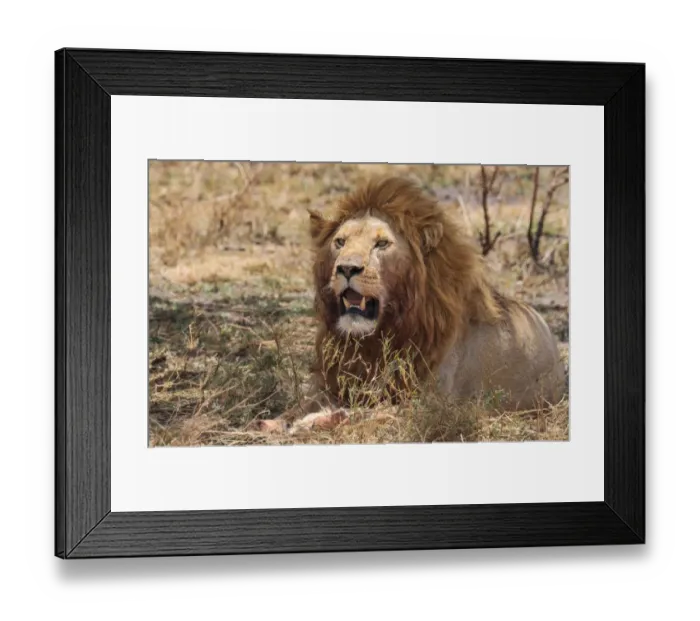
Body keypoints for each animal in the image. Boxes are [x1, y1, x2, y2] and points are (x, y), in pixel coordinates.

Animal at [251, 176, 566, 433]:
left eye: (381, 244)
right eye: (340, 242)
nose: (346, 268)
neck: (374, 340)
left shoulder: (430, 402)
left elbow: (370, 412)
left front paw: (318, 421)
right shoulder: (335, 380)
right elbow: (299, 405)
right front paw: (272, 421)